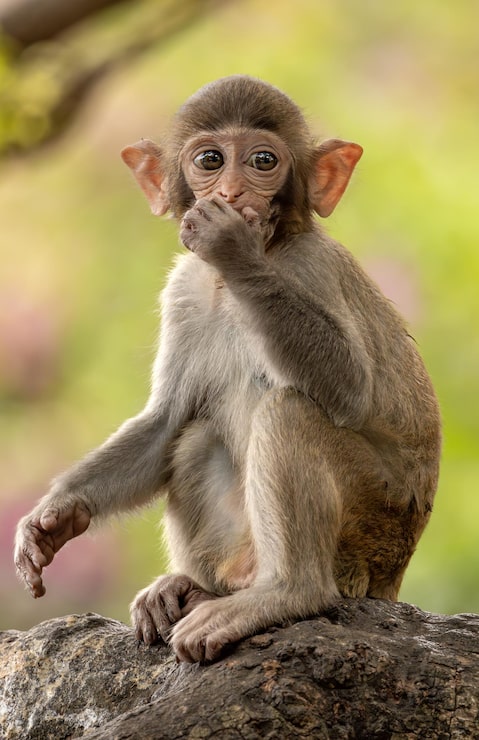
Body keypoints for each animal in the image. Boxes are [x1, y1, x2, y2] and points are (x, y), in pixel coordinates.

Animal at [14, 75, 441, 664]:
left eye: (264, 160)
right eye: (210, 160)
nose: (233, 193)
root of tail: (392, 578)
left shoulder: (314, 265)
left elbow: (352, 389)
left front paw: (233, 246)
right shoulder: (183, 289)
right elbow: (166, 422)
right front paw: (53, 518)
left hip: (374, 529)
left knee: (290, 413)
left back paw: (284, 594)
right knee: (197, 438)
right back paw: (192, 588)